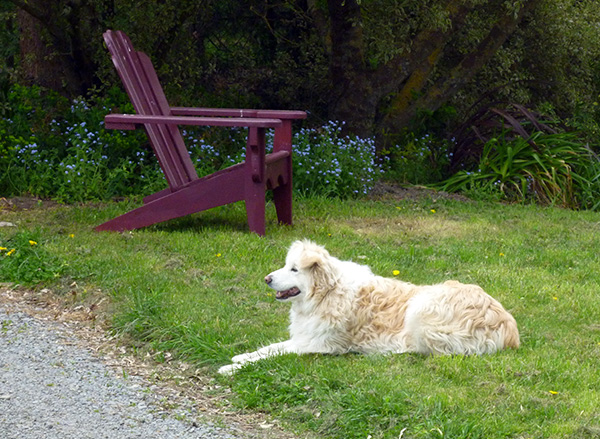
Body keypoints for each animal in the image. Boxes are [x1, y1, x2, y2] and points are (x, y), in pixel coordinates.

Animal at [218, 241, 516, 374]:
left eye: (294, 269)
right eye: (285, 266)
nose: (267, 279)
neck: (326, 293)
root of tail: (510, 327)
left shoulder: (317, 344)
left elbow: (274, 354)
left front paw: (232, 368)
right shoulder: (305, 337)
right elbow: (270, 348)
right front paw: (241, 356)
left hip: (421, 307)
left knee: (430, 350)